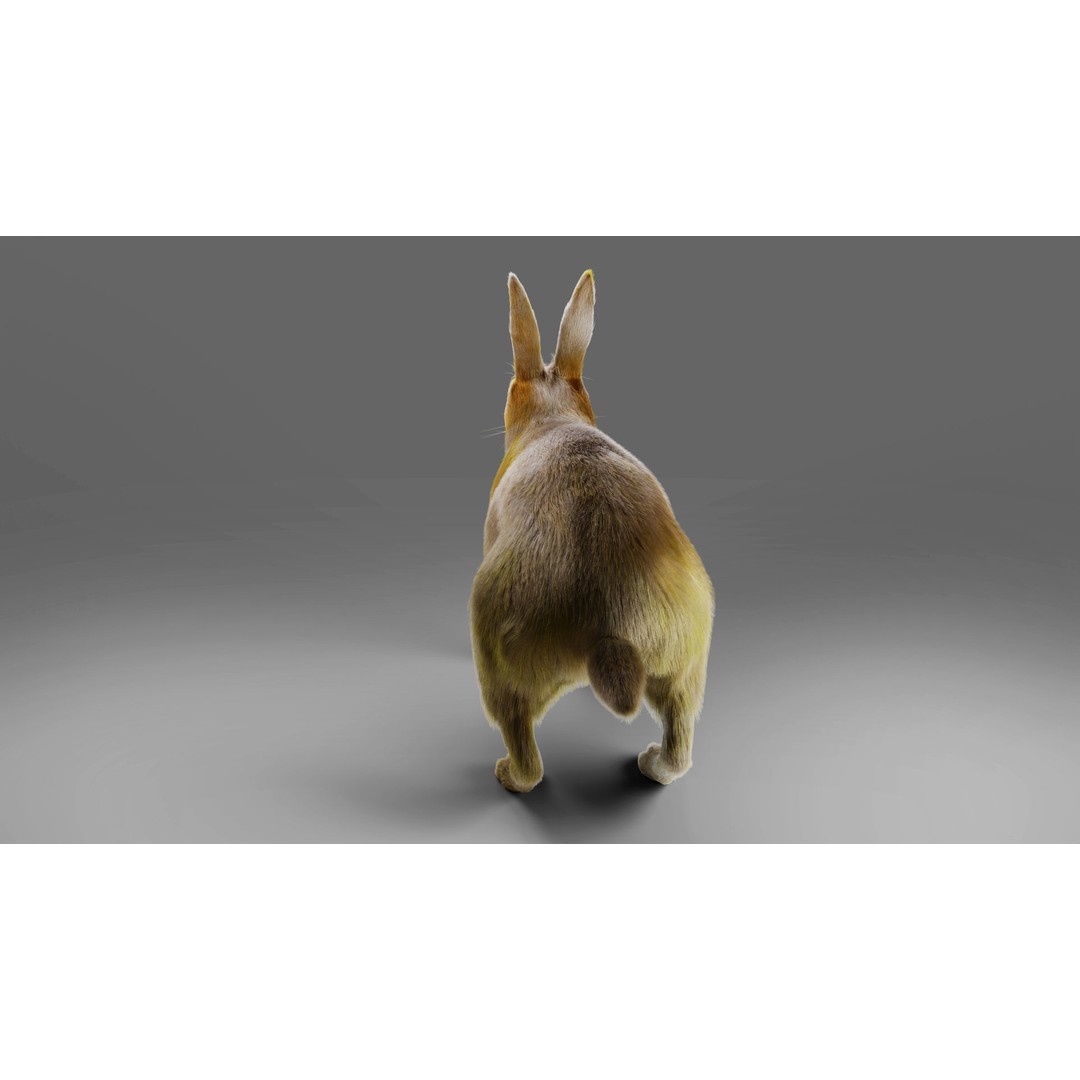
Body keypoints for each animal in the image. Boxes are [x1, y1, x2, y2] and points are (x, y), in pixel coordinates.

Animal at [469, 270, 715, 793]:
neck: (553, 416)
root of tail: (612, 619)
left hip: (497, 651)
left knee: (527, 754)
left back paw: (506, 774)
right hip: (685, 663)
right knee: (679, 746)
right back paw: (651, 763)